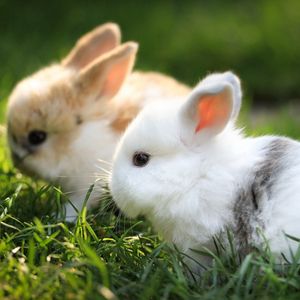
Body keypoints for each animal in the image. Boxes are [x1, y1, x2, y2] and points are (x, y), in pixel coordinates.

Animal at [6, 23, 190, 219]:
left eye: (37, 137)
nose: (17, 163)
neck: (79, 139)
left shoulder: (89, 183)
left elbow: (79, 202)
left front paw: (60, 217)